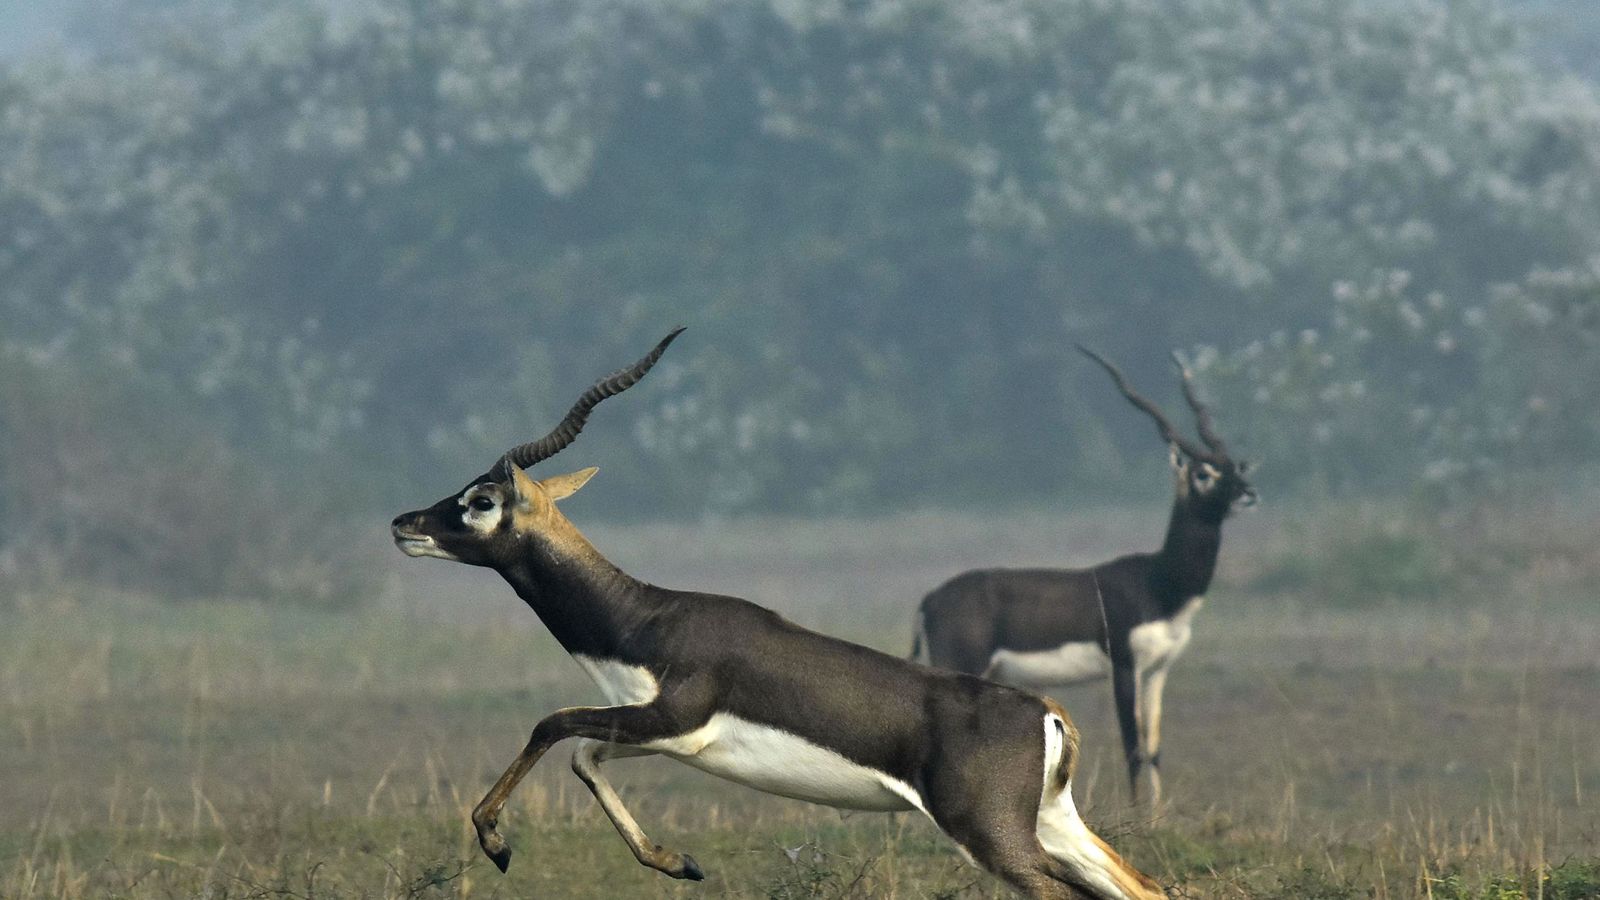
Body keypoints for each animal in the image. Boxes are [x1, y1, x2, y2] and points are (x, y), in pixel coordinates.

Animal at [387, 331, 1164, 896]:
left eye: (481, 499)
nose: (404, 523)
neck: (644, 615)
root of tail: (1047, 712)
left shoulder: (671, 715)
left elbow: (551, 725)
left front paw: (496, 843)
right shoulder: (665, 733)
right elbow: (582, 754)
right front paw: (679, 862)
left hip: (996, 838)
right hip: (1054, 825)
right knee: (1144, 888)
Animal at [915, 347, 1248, 800]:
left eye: (1234, 467)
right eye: (1204, 473)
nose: (1249, 492)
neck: (1158, 584)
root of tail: (931, 597)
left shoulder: (1158, 670)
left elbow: (1154, 748)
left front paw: (1158, 812)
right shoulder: (1125, 666)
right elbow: (1132, 746)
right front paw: (1136, 810)